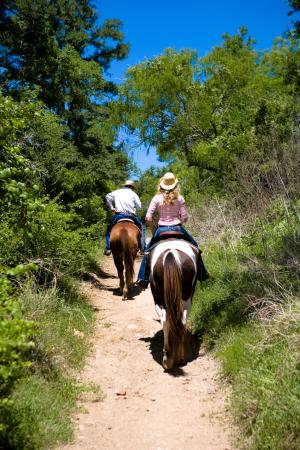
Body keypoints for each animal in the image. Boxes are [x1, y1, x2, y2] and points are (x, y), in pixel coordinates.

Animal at [149, 239, 198, 370]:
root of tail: (171, 254)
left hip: (160, 300)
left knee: (167, 322)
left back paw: (169, 357)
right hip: (186, 299)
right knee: (180, 321)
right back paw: (175, 357)